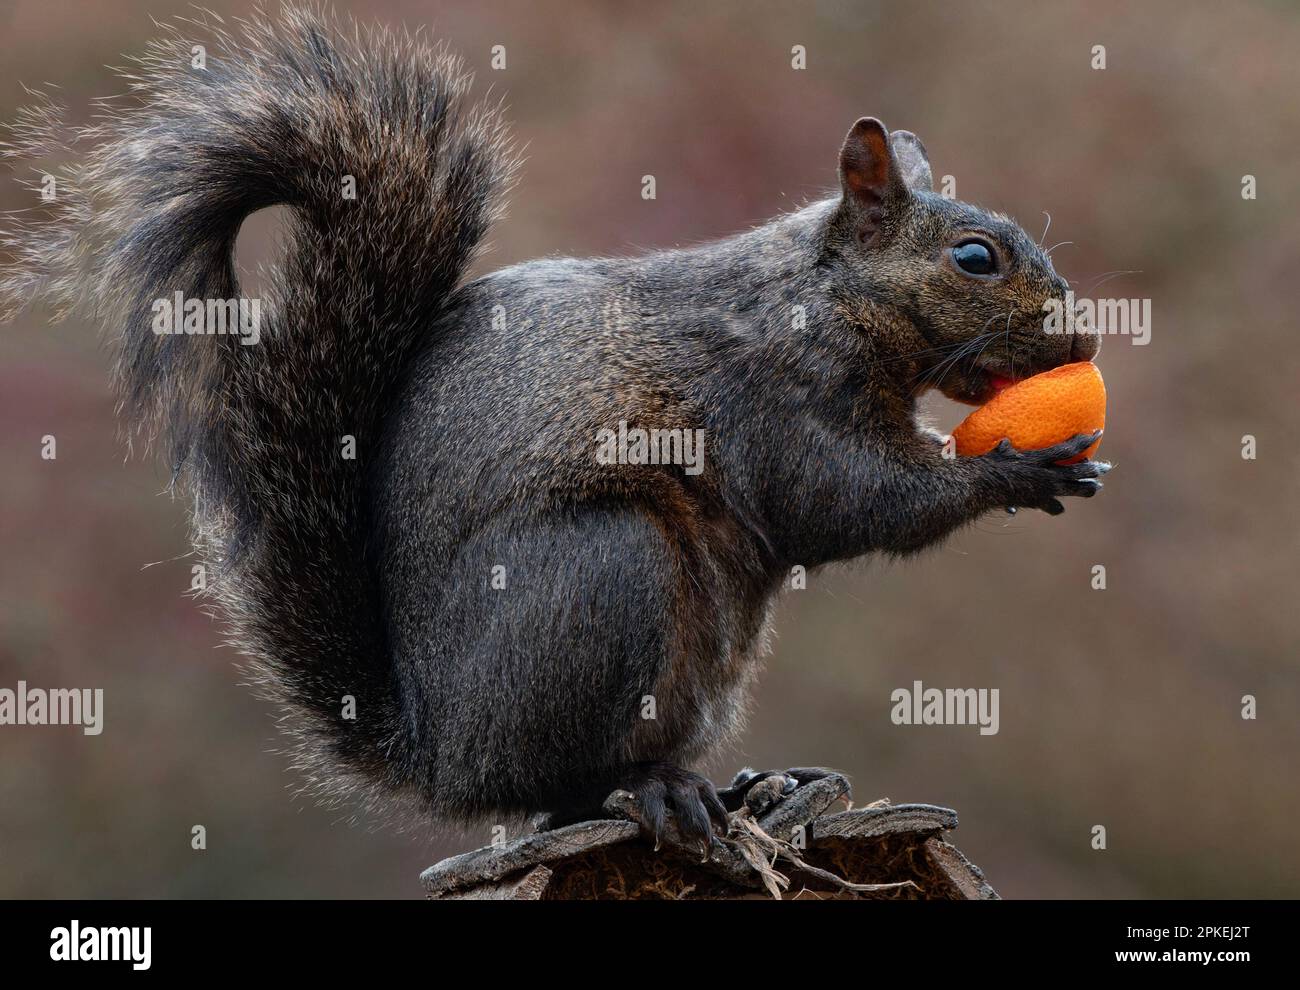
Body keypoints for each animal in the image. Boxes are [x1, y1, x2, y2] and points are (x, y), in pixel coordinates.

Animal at [0, 3, 1107, 847]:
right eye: (973, 259)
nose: (1084, 335)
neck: (819, 295)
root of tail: (438, 753)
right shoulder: (770, 399)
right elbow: (845, 500)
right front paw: (1021, 469)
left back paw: (741, 786)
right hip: (603, 570)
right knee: (553, 791)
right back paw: (653, 791)